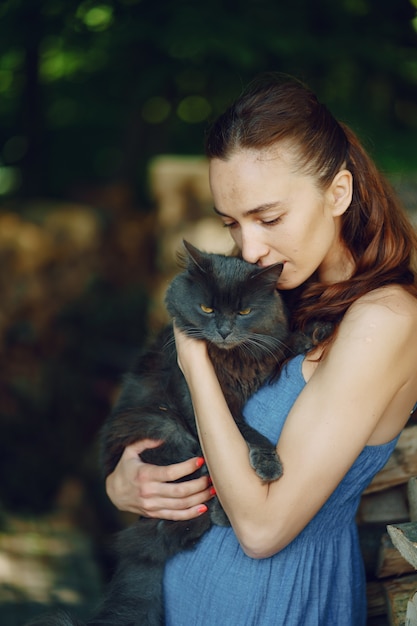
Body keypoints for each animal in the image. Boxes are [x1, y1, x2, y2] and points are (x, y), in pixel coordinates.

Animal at [26, 241, 306, 624]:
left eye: (245, 311)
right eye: (207, 308)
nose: (223, 330)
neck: (231, 360)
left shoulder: (264, 351)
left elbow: (283, 345)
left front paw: (316, 332)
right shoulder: (199, 402)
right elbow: (246, 433)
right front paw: (268, 463)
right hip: (166, 428)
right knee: (180, 522)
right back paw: (217, 514)